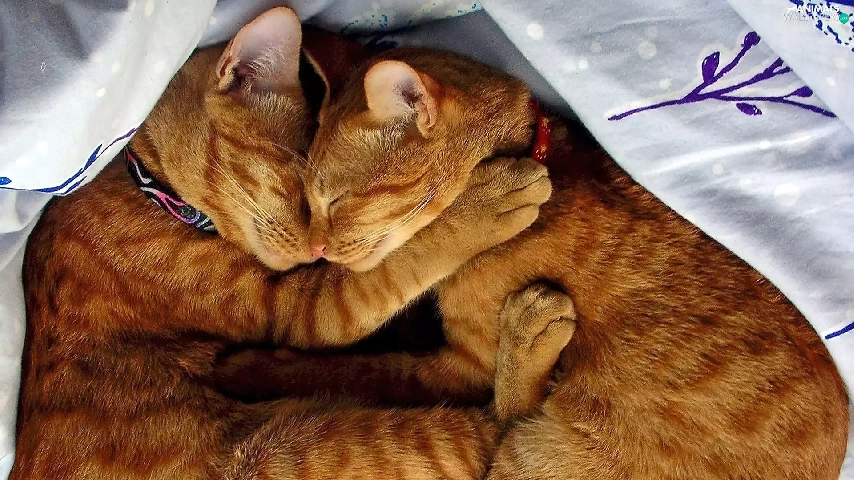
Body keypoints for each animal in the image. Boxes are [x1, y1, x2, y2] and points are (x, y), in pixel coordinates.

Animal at [11, 10, 557, 479]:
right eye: (300, 188)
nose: (315, 252)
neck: (150, 189)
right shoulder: (305, 309)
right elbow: (400, 260)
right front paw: (483, 202)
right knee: (508, 429)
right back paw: (531, 335)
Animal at [218, 48, 851, 480]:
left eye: (337, 201)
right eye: (309, 201)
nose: (318, 250)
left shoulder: (463, 366)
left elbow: (360, 369)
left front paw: (251, 369)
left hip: (548, 450)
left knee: (505, 423)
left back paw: (531, 334)